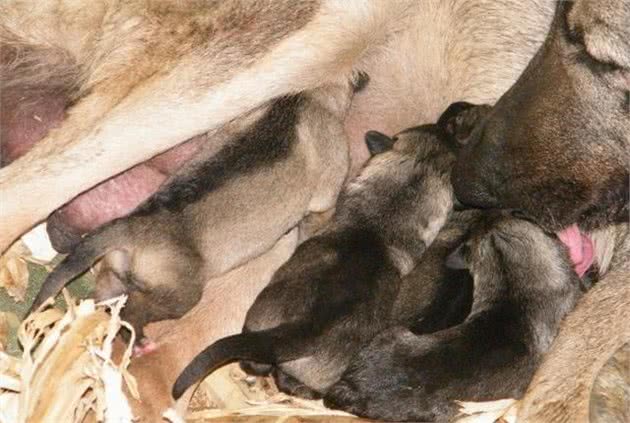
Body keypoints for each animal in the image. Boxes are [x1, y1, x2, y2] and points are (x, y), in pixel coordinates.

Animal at [30, 80, 360, 348]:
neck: (303, 97)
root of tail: (136, 225)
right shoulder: (327, 189)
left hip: (112, 275)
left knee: (107, 302)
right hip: (178, 295)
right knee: (135, 310)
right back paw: (139, 341)